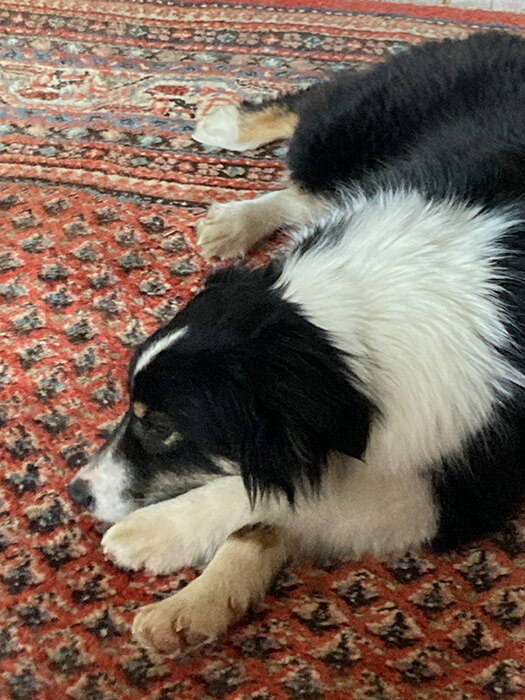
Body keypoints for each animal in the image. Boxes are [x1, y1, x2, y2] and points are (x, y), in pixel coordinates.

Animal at [68, 31, 525, 654]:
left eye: (161, 427)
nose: (77, 492)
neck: (347, 341)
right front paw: (196, 595)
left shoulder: (462, 487)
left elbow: (284, 498)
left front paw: (167, 554)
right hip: (362, 130)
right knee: (308, 138)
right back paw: (225, 155)